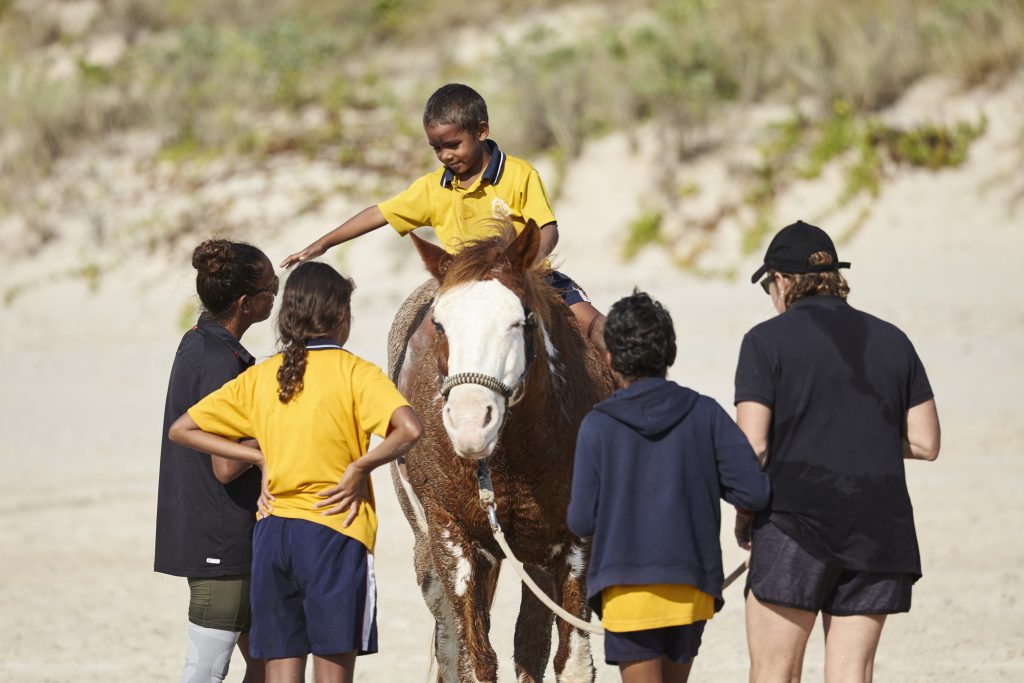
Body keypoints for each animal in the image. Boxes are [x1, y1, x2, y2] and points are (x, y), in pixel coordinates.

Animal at [387, 221, 613, 682]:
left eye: (519, 321)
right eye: (439, 325)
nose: (471, 422)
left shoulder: (572, 544)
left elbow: (571, 661)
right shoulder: (452, 537)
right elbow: (473, 660)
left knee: (531, 644)